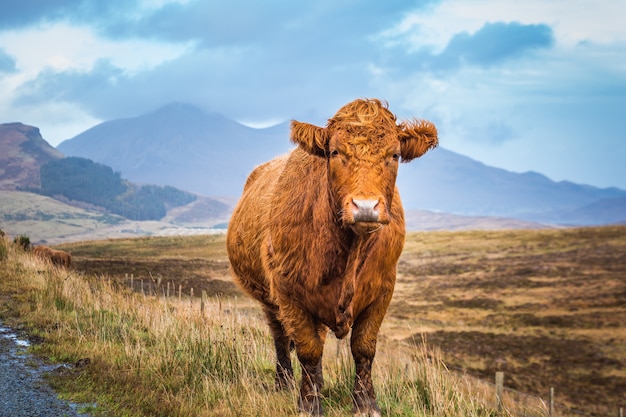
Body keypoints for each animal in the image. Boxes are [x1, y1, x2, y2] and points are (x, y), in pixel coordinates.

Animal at [227, 99, 436, 414]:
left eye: (395, 154)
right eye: (336, 152)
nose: (365, 207)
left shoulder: (383, 290)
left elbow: (363, 348)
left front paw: (365, 403)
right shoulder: (288, 293)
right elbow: (308, 349)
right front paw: (309, 403)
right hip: (268, 298)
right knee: (280, 337)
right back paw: (283, 382)